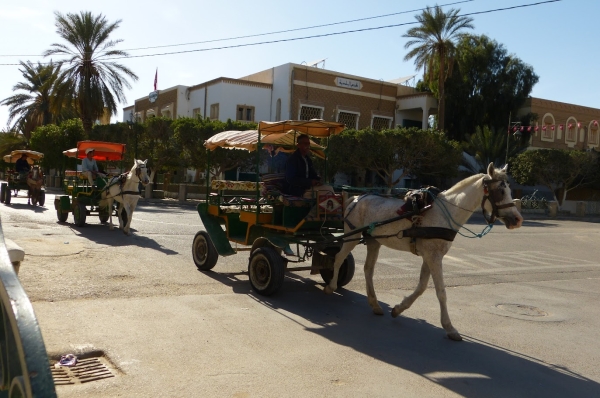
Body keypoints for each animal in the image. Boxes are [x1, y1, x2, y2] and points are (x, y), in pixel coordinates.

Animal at [326, 163, 524, 340]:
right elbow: (441, 292)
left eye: (509, 190)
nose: (517, 219)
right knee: (339, 257)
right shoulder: (433, 257)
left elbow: (421, 287)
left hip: (374, 241)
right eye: (500, 191)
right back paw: (331, 286)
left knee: (368, 269)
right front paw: (449, 327)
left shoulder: (432, 256)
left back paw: (374, 304)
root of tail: (356, 198)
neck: (446, 213)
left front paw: (399, 309)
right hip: (353, 236)